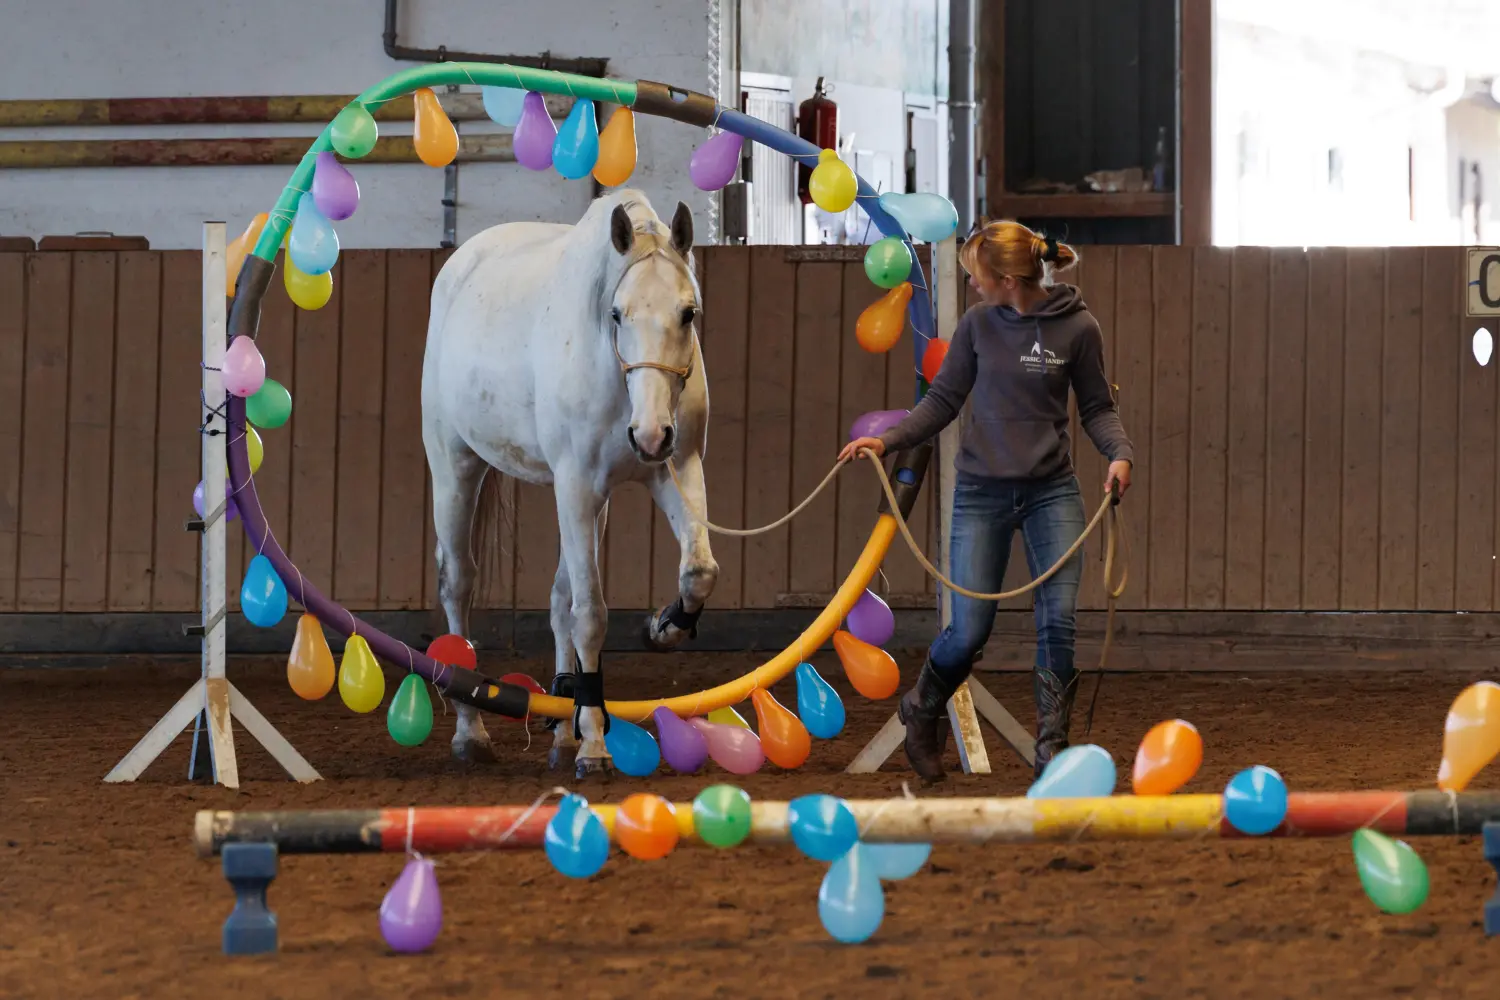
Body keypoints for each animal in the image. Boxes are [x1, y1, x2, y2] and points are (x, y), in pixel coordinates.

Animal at [421, 189, 718, 777]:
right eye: (617, 313)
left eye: (688, 312)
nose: (651, 434)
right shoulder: (577, 486)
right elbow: (589, 615)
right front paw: (595, 746)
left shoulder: (674, 470)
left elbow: (698, 573)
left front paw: (663, 627)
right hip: (456, 468)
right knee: (458, 584)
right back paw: (472, 732)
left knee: (559, 597)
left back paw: (562, 727)